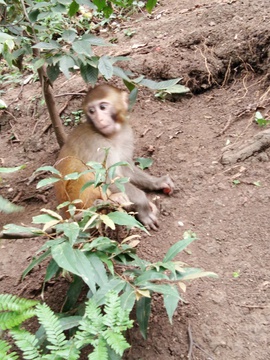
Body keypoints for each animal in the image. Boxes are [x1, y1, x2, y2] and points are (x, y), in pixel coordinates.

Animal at [53, 84, 174, 229]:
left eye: (102, 107)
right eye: (92, 111)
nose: (99, 119)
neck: (112, 135)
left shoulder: (127, 134)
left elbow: (127, 169)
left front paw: (158, 182)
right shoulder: (95, 142)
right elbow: (106, 176)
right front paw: (143, 206)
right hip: (72, 203)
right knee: (79, 167)